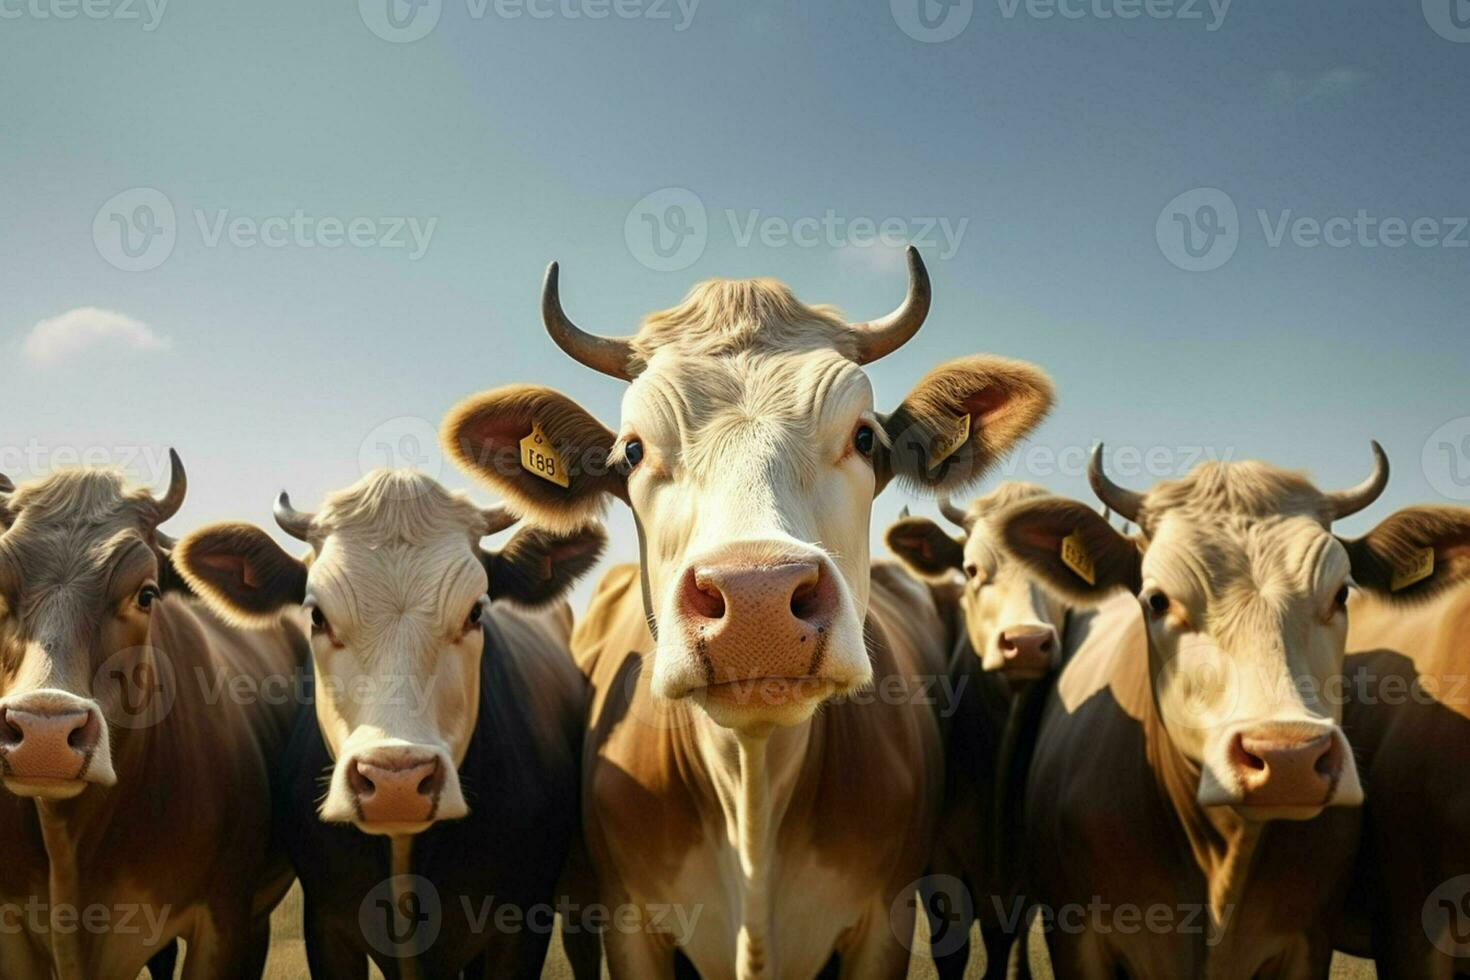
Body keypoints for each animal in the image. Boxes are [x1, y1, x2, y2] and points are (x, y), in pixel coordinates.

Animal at [435, 249, 1058, 975]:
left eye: (865, 439)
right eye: (633, 451)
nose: (756, 600)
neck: (752, 792)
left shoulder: (886, 921)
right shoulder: (628, 924)